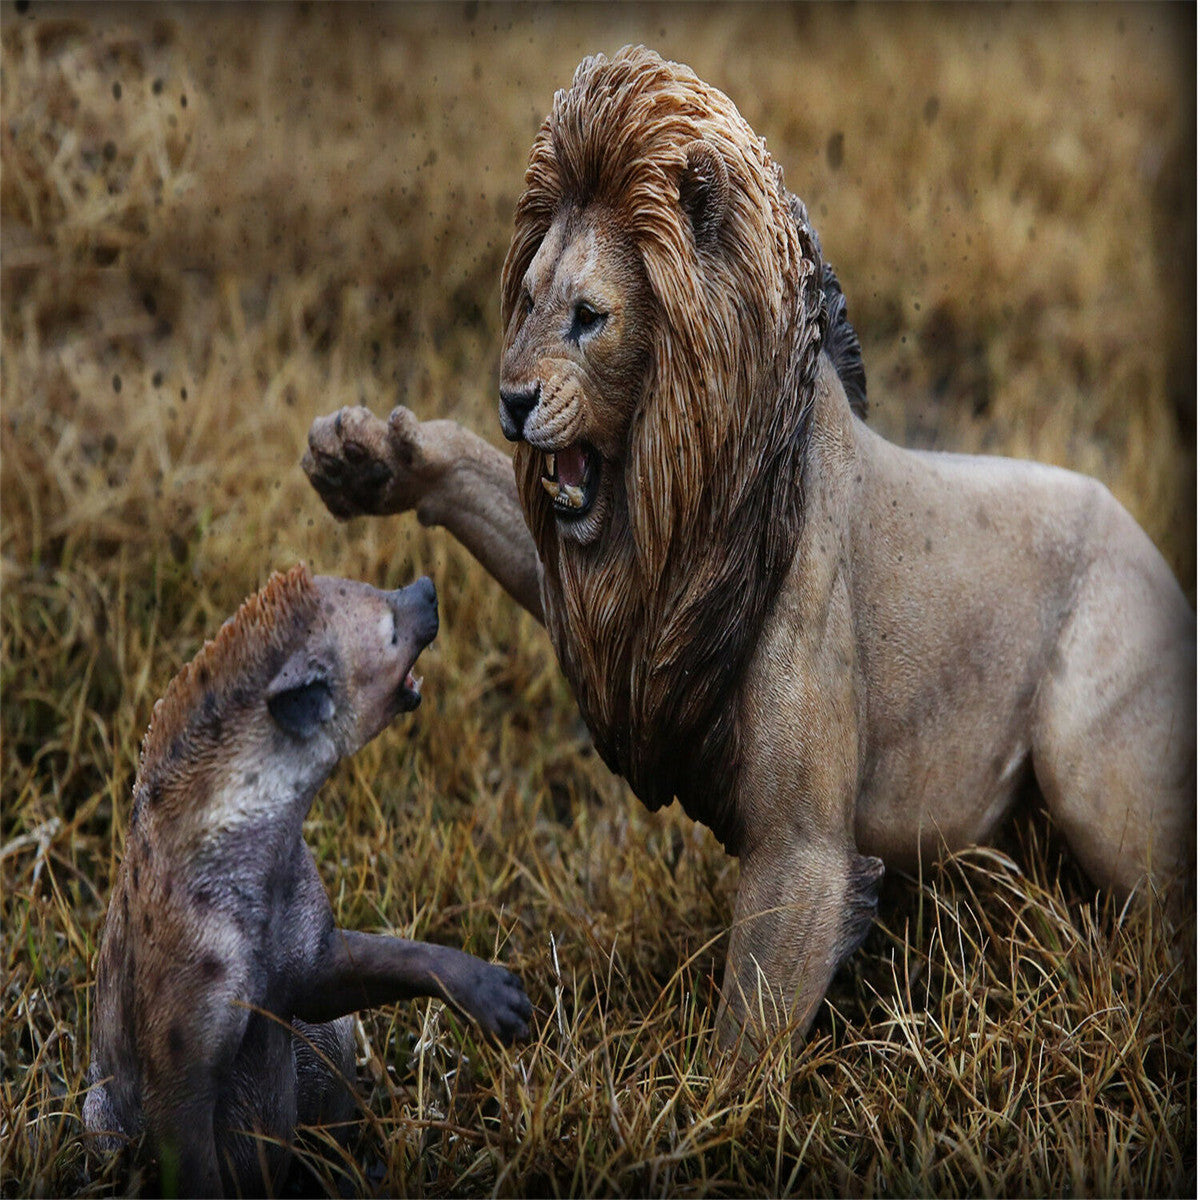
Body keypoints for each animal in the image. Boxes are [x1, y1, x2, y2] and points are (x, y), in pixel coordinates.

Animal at [304, 46, 1196, 1051]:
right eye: (526, 300)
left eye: (589, 316)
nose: (514, 400)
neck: (692, 505)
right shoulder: (615, 591)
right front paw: (371, 459)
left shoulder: (802, 851)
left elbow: (742, 1050)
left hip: (1096, 770)